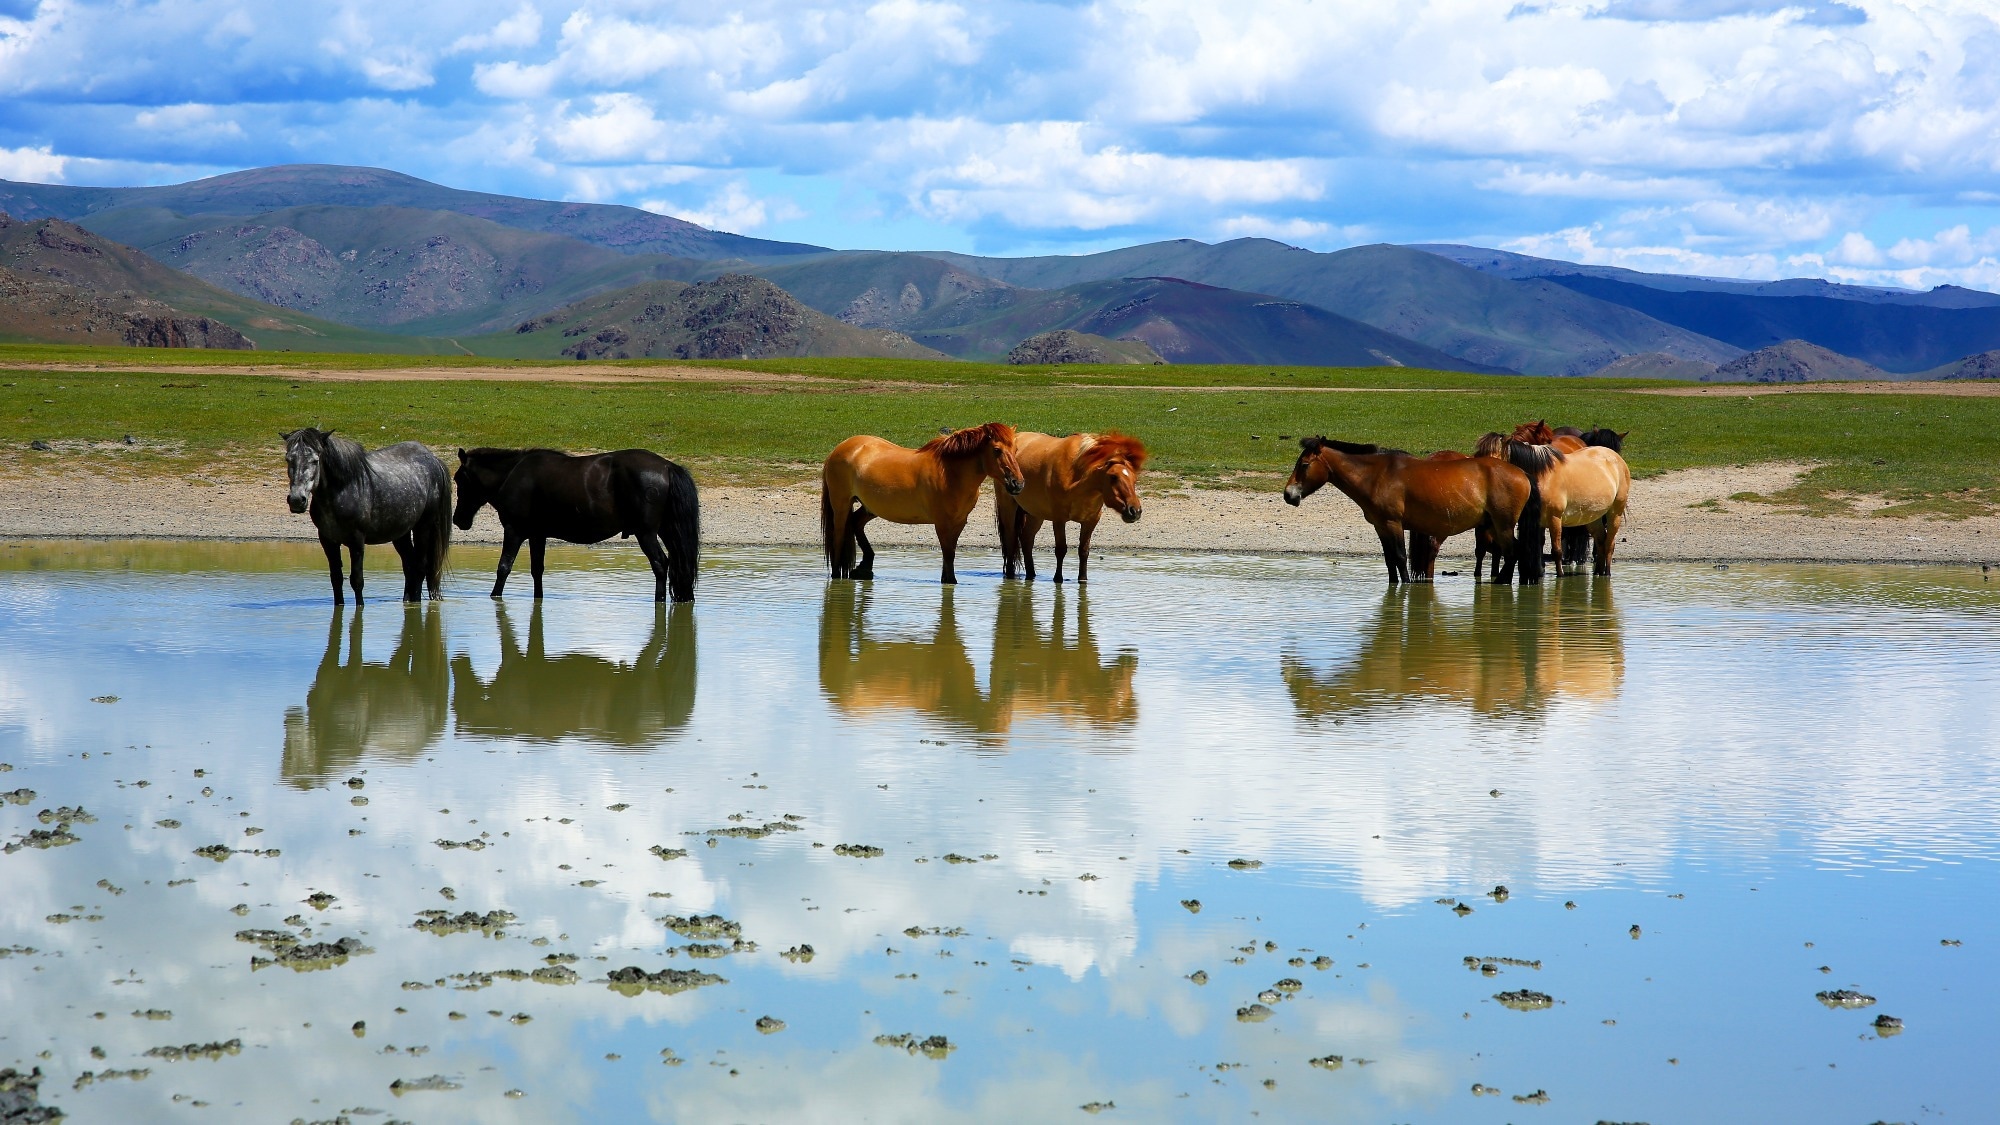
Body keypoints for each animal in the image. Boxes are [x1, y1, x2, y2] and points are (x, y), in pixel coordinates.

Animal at [282, 427, 452, 605]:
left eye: (315, 460)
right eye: (288, 459)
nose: (296, 500)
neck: (343, 489)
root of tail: (433, 459)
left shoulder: (357, 541)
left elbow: (357, 581)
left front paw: (360, 607)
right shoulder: (328, 540)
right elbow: (336, 579)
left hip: (424, 527)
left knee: (420, 567)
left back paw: (415, 603)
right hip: (401, 533)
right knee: (409, 566)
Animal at [453, 448, 699, 602]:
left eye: (458, 479)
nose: (458, 519)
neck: (512, 476)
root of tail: (667, 467)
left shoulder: (514, 531)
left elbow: (504, 567)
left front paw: (494, 596)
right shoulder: (537, 534)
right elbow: (537, 570)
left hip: (646, 533)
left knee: (660, 564)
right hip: (667, 531)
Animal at [821, 422, 1025, 584]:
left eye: (1015, 450)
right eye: (997, 450)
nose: (1018, 483)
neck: (950, 473)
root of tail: (839, 449)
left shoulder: (959, 522)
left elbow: (950, 554)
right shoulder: (942, 523)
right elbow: (948, 554)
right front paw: (950, 581)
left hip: (870, 508)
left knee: (856, 523)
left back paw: (865, 567)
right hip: (841, 505)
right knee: (838, 538)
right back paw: (839, 574)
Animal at [996, 432, 1146, 584]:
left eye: (1134, 479)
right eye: (1113, 477)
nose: (1135, 511)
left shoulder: (1090, 521)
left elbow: (1084, 551)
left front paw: (1083, 579)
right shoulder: (1059, 519)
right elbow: (1061, 549)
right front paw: (1058, 578)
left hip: (1036, 513)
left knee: (1027, 539)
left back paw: (1031, 574)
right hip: (1008, 506)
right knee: (1010, 538)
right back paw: (1010, 575)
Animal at [1282, 437, 1531, 585]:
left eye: (1304, 465)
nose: (1288, 494)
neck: (1376, 476)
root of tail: (1522, 474)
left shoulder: (1394, 524)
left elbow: (1401, 557)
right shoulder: (1381, 526)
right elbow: (1389, 559)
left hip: (1503, 525)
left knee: (1512, 552)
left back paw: (1501, 582)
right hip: (1493, 525)